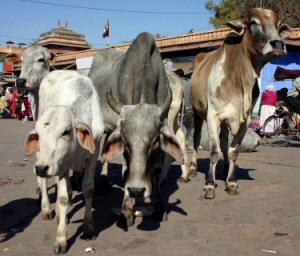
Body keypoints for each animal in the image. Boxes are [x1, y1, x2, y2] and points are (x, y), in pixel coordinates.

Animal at [23, 70, 103, 254]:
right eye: (39, 134)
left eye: (66, 131)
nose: (41, 168)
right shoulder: (61, 165)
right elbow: (63, 196)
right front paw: (61, 239)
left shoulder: (93, 154)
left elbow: (88, 189)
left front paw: (88, 227)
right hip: (42, 155)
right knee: (46, 183)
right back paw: (48, 209)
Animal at [190, 8, 290, 199]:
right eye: (253, 22)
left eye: (279, 24)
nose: (278, 43)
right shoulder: (213, 116)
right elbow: (214, 151)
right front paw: (209, 185)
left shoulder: (244, 120)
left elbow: (233, 151)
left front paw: (231, 182)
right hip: (197, 113)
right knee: (196, 139)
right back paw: (191, 170)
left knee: (223, 142)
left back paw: (223, 170)